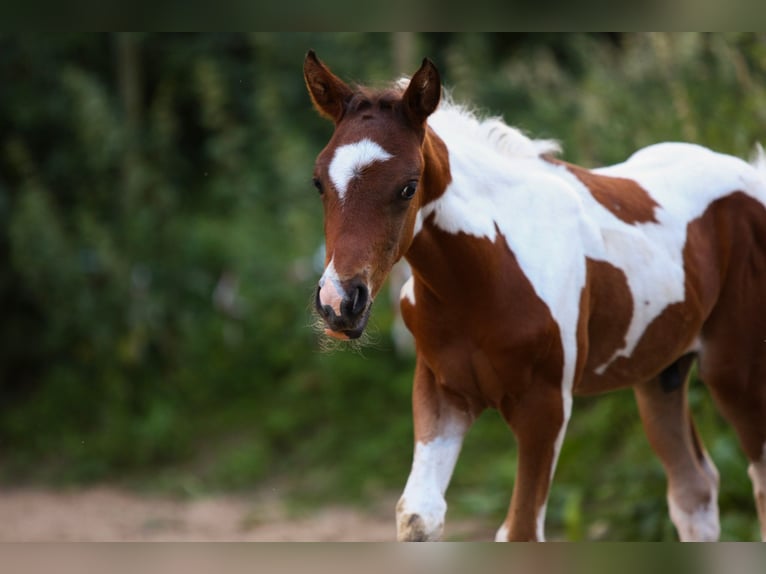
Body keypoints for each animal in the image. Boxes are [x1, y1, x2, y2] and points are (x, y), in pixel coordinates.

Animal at [304, 51, 766, 544]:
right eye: (319, 182)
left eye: (408, 186)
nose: (339, 302)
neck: (479, 280)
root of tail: (751, 176)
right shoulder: (442, 393)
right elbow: (419, 517)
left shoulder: (545, 407)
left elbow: (521, 530)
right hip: (661, 373)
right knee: (694, 491)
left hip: (736, 371)